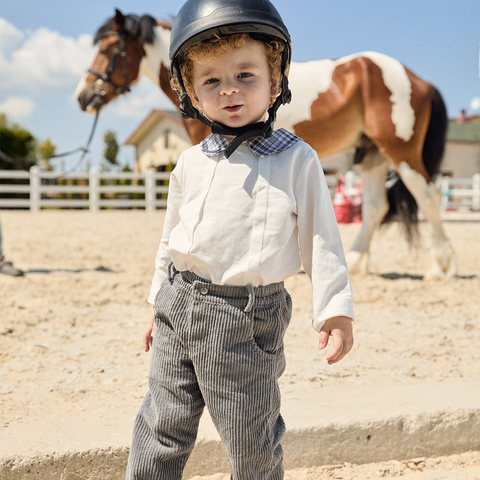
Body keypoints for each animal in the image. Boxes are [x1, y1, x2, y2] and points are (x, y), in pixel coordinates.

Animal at [76, 10, 458, 282]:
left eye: (109, 50)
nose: (84, 96)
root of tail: (417, 80)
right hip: (374, 159)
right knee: (377, 207)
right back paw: (354, 262)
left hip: (401, 152)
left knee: (427, 197)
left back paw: (441, 267)